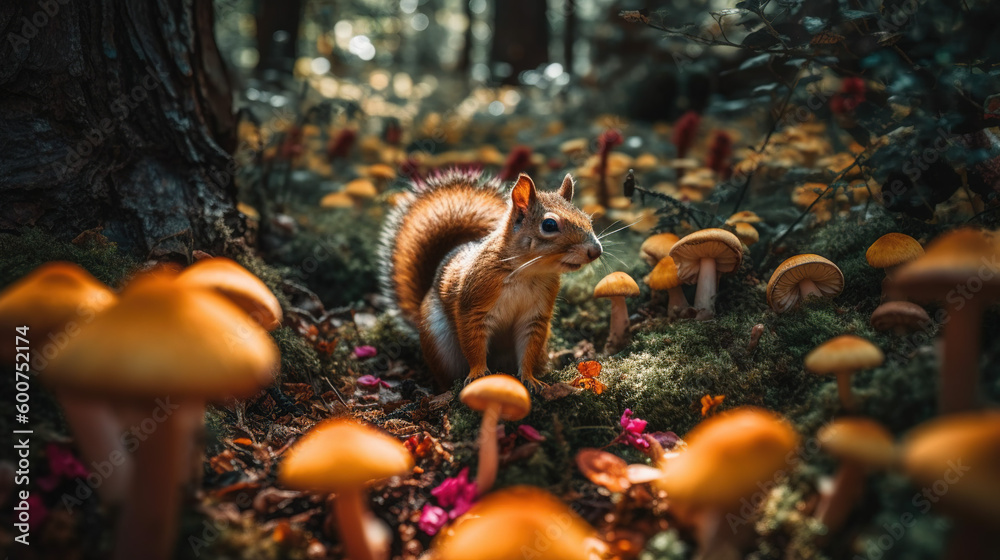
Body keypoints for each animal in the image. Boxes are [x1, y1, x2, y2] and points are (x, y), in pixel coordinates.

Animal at [379, 169, 603, 390]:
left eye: (586, 218)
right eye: (549, 225)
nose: (596, 251)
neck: (527, 272)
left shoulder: (536, 316)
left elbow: (529, 348)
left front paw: (530, 378)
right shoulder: (474, 304)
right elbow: (473, 343)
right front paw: (478, 373)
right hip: (440, 343)